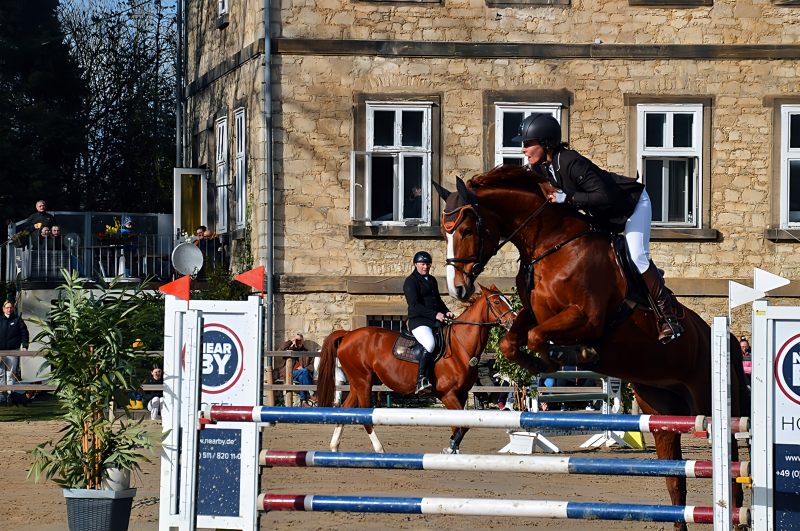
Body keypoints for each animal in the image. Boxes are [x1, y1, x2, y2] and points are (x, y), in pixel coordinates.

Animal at [316, 284, 516, 456]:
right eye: (497, 302)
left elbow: (458, 425)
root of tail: (348, 334)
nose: (514, 321)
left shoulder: (460, 394)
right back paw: (380, 450)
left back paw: (334, 447)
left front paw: (454, 451)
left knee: (346, 410)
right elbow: (464, 425)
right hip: (363, 382)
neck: (460, 347)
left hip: (358, 383)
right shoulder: (447, 394)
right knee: (365, 416)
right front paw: (450, 448)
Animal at [432, 165, 752, 528]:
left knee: (731, 456)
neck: (552, 245)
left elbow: (537, 337)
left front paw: (568, 356)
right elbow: (513, 341)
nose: (457, 289)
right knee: (676, 478)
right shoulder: (534, 314)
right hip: (662, 411)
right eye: (444, 233)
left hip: (708, 401)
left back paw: (738, 516)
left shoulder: (587, 318)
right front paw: (545, 361)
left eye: (466, 229)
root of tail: (715, 332)